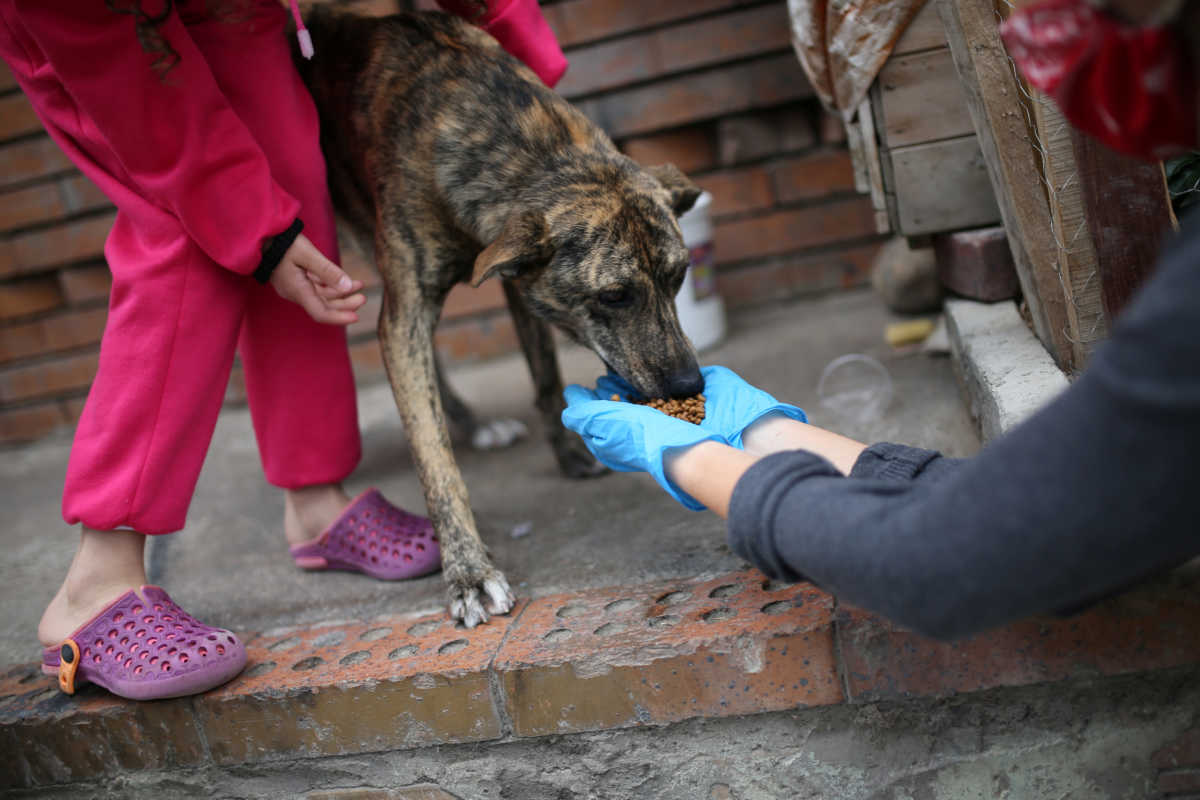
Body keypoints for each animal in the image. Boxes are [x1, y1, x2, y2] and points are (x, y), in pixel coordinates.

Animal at [297, 7, 700, 633]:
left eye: (679, 276)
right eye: (614, 295)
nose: (689, 385)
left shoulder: (514, 277)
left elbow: (544, 375)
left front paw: (570, 455)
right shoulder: (409, 305)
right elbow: (434, 460)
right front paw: (467, 572)